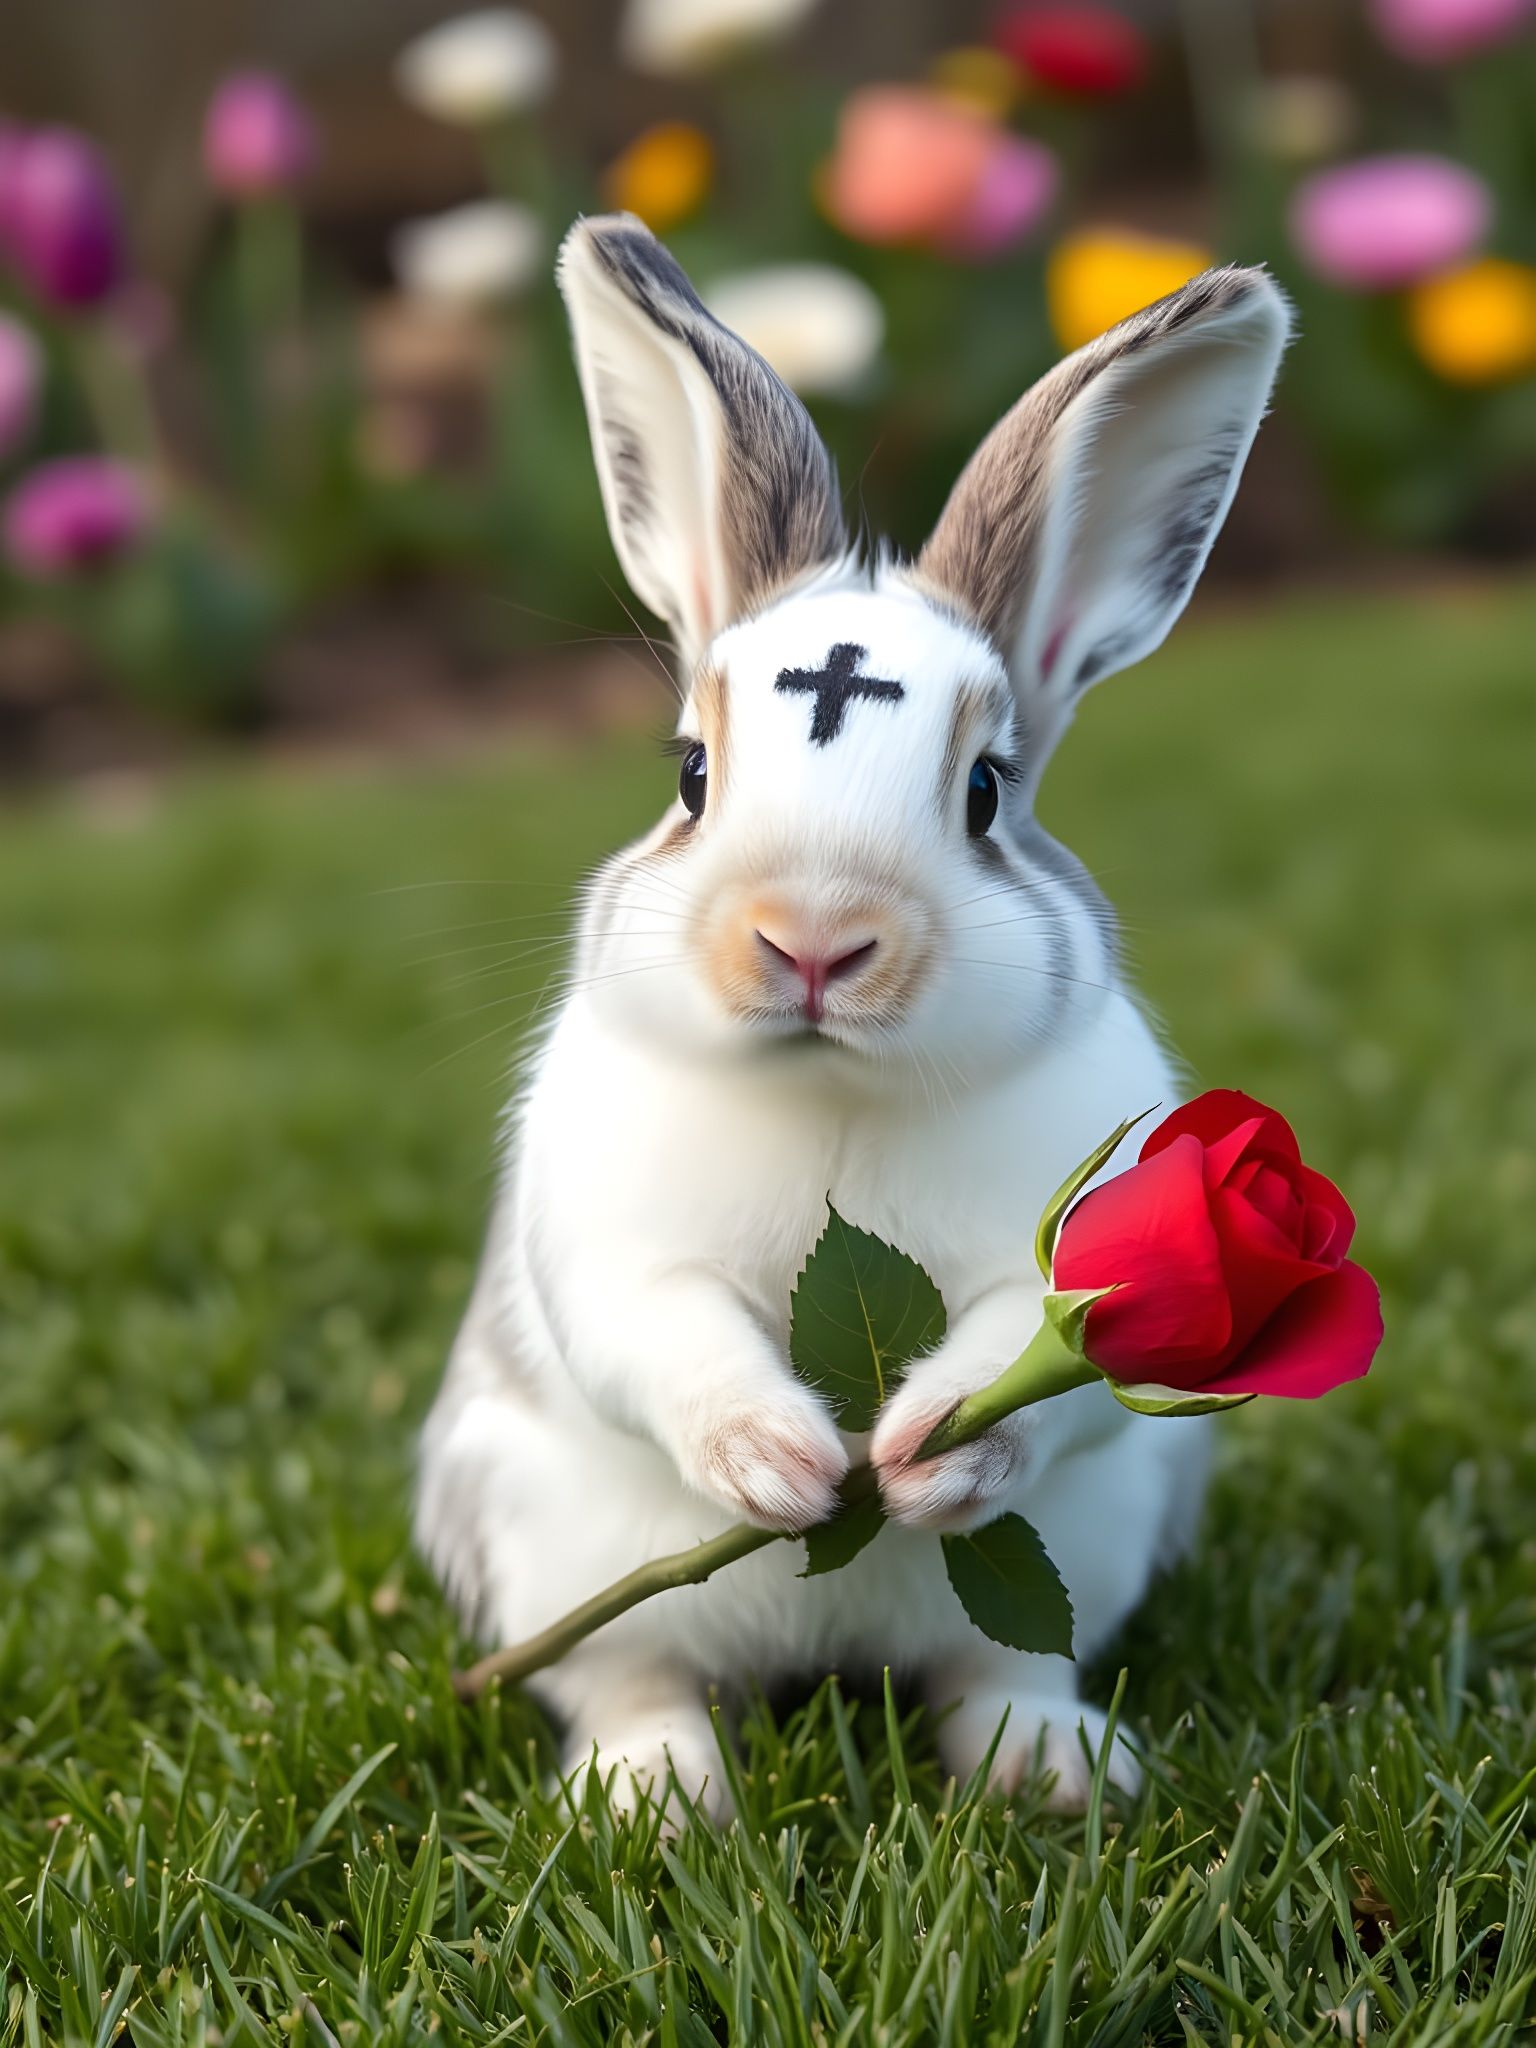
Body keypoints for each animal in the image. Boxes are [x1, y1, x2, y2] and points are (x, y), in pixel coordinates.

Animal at [416, 213, 1291, 1822]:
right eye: (691, 774)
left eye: (987, 792)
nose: (814, 940)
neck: (831, 1090)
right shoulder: (609, 1255)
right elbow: (655, 1331)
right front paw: (780, 1459)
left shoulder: (1072, 1278)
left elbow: (1032, 1364)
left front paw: (921, 1446)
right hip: (544, 1545)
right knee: (627, 1675)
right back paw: (652, 1799)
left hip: (1086, 1550)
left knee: (997, 1670)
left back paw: (1060, 1770)